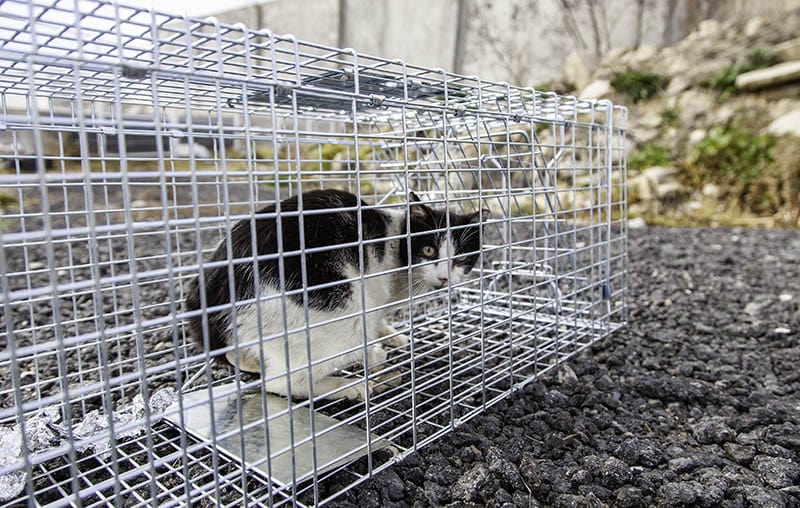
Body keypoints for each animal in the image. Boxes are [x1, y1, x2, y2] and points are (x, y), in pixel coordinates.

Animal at [188, 190, 484, 400]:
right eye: (429, 251)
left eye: (461, 257)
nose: (444, 277)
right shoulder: (371, 294)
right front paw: (374, 352)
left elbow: (378, 321)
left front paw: (391, 334)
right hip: (341, 309)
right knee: (282, 382)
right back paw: (347, 386)